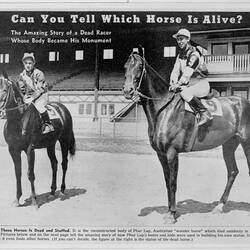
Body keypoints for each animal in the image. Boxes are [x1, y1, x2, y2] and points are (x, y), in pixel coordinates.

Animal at [0, 75, 75, 208]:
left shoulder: (30, 149)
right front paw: (17, 199)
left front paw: (34, 201)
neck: (19, 120)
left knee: (64, 163)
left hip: (64, 140)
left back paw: (62, 190)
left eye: (4, 90)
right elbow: (18, 173)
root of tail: (62, 108)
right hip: (50, 144)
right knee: (54, 164)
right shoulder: (13, 150)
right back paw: (52, 192)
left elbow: (30, 174)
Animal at [123, 47, 250, 224]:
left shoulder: (172, 152)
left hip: (246, 142)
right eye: (125, 66)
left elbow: (173, 183)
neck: (164, 108)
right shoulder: (161, 154)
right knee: (232, 172)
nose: (127, 91)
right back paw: (219, 206)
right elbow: (167, 182)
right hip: (229, 144)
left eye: (140, 66)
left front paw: (172, 214)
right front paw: (170, 210)